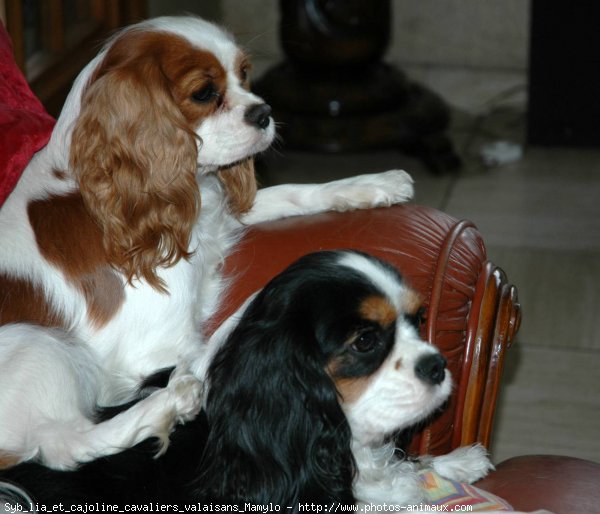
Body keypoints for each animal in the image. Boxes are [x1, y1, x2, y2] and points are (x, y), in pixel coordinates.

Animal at [0, 17, 412, 468]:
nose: (264, 112)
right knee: (63, 444)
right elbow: (225, 338)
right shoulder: (155, 349)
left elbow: (289, 193)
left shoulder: (218, 215)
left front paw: (373, 184)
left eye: (244, 75)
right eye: (203, 93)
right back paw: (168, 401)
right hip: (40, 345)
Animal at [0, 250, 492, 506]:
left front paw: (458, 461)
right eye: (366, 341)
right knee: (62, 443)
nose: (437, 365)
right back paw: (170, 401)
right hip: (41, 348)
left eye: (419, 318)